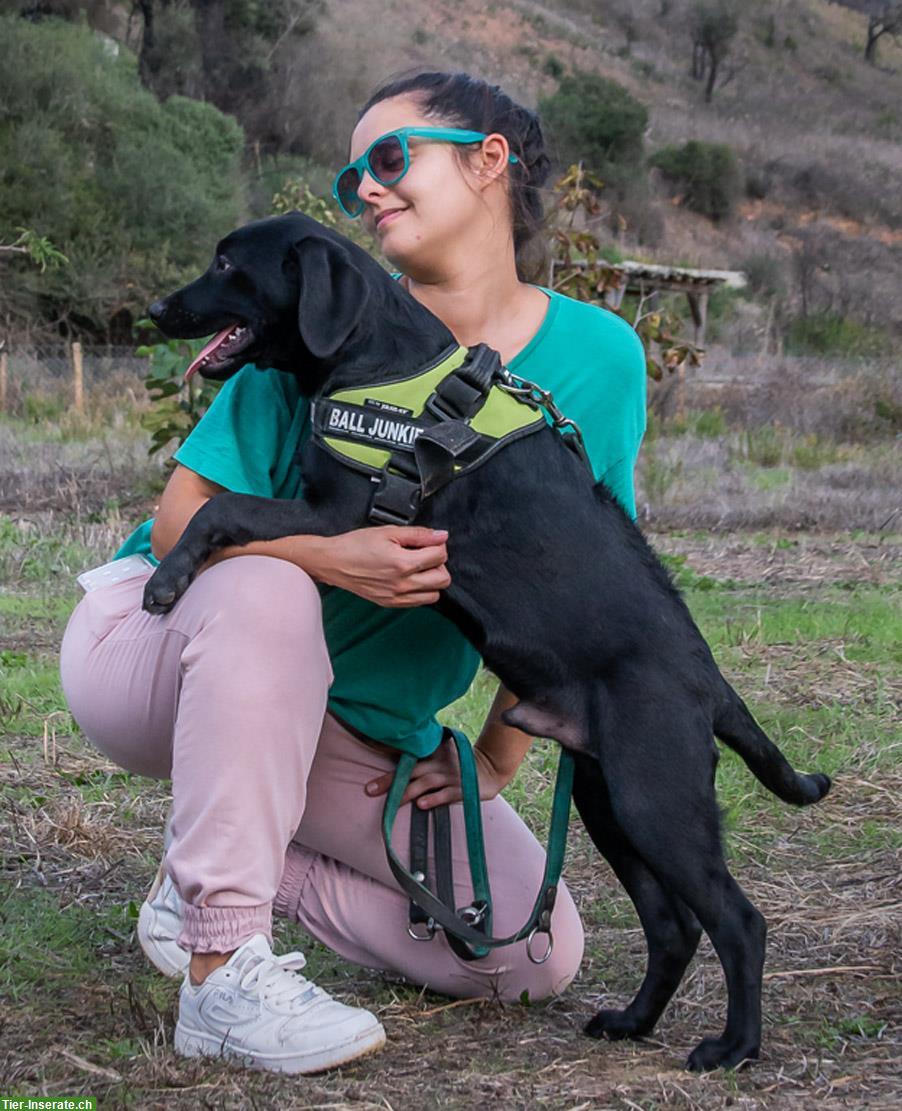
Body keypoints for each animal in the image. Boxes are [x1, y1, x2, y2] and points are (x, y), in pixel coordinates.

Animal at [144, 212, 826, 1071]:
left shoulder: (338, 515)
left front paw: (169, 579)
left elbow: (221, 507)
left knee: (739, 920)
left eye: (229, 263)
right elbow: (225, 505)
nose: (156, 308)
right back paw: (632, 1021)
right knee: (674, 926)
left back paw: (733, 1046)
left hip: (657, 801)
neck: (379, 358)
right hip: (610, 802)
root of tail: (711, 683)